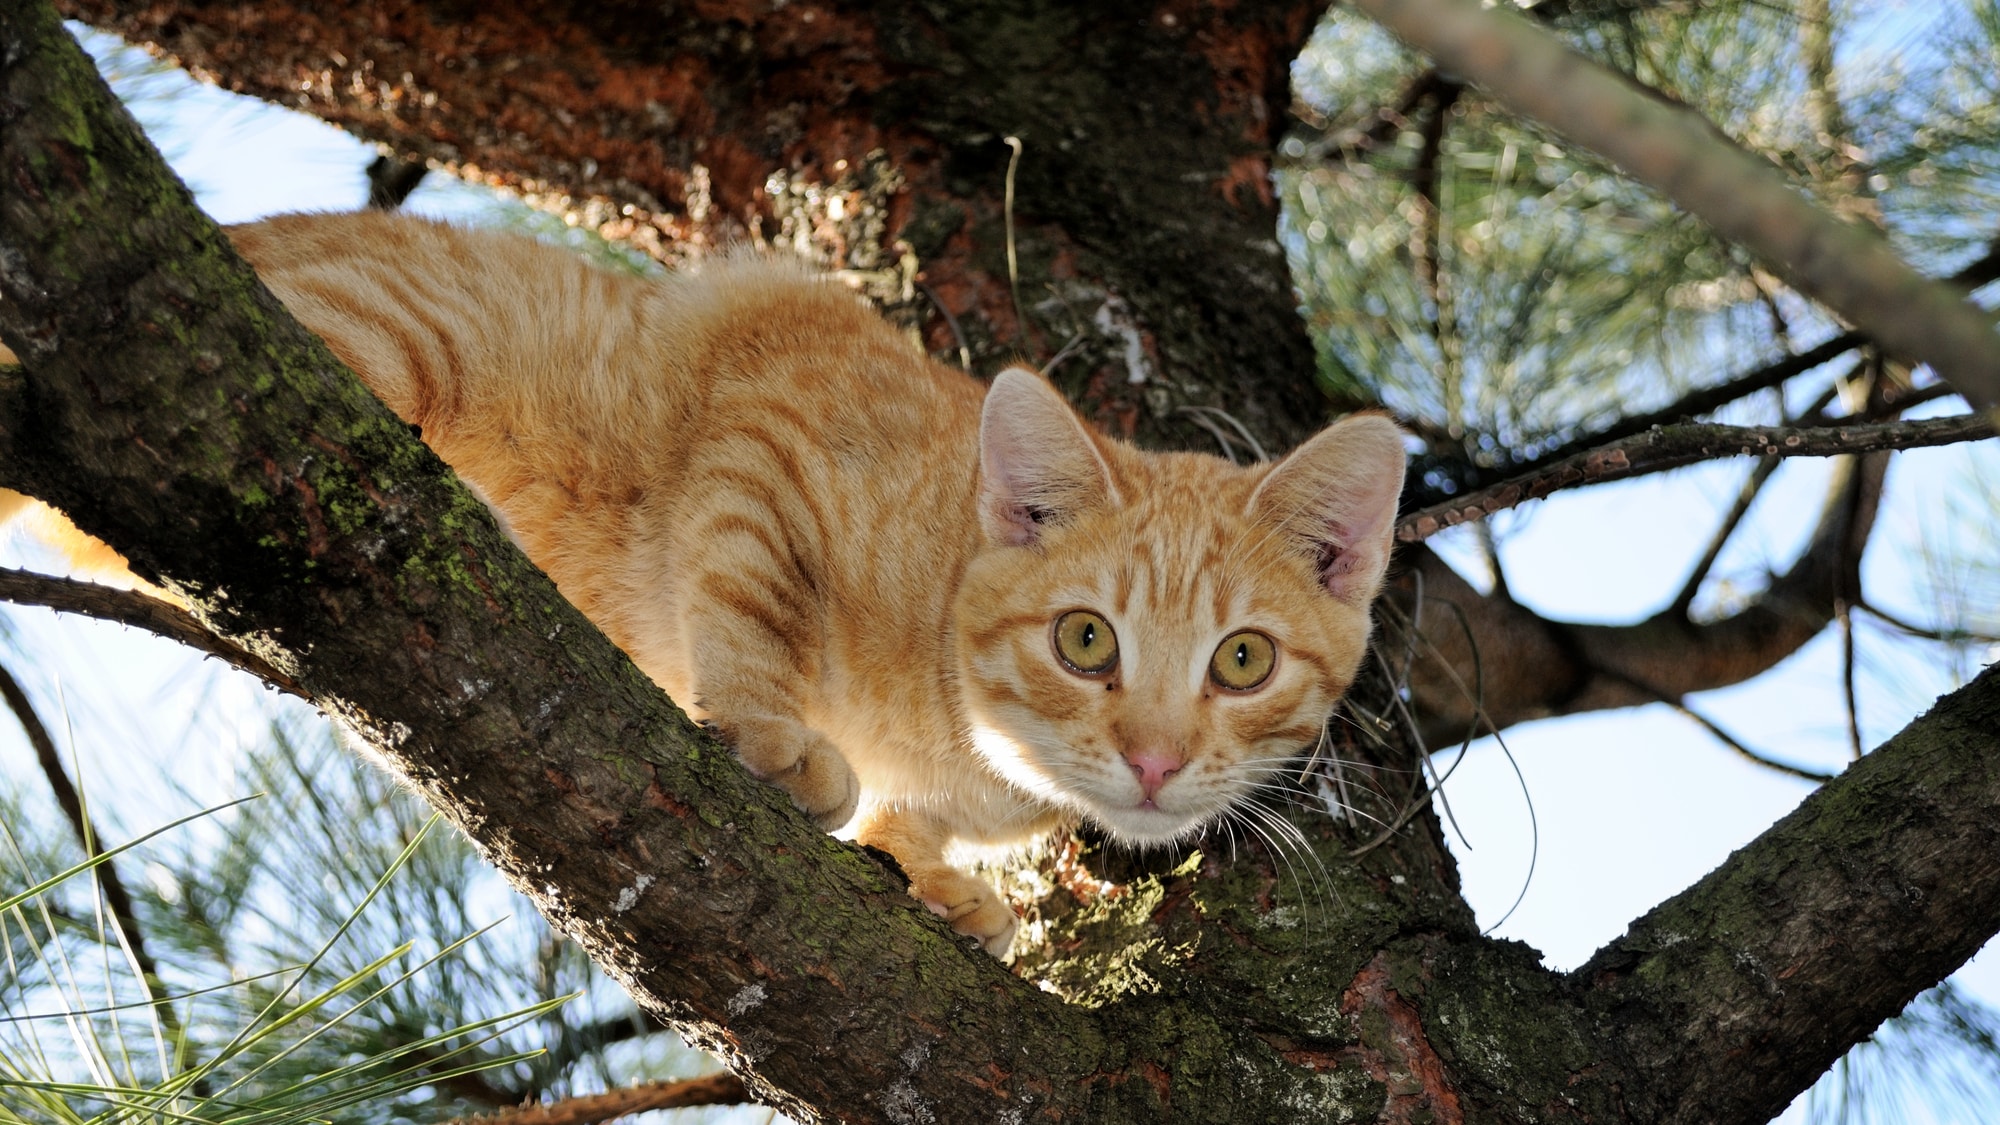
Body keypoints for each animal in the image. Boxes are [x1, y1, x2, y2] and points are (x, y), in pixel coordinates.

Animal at [3, 210, 1408, 944]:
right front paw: (779, 742)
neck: (961, 729)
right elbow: (748, 598)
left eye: (1241, 660)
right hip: (379, 341)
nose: (1156, 762)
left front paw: (937, 874)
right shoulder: (769, 417)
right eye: (1084, 640)